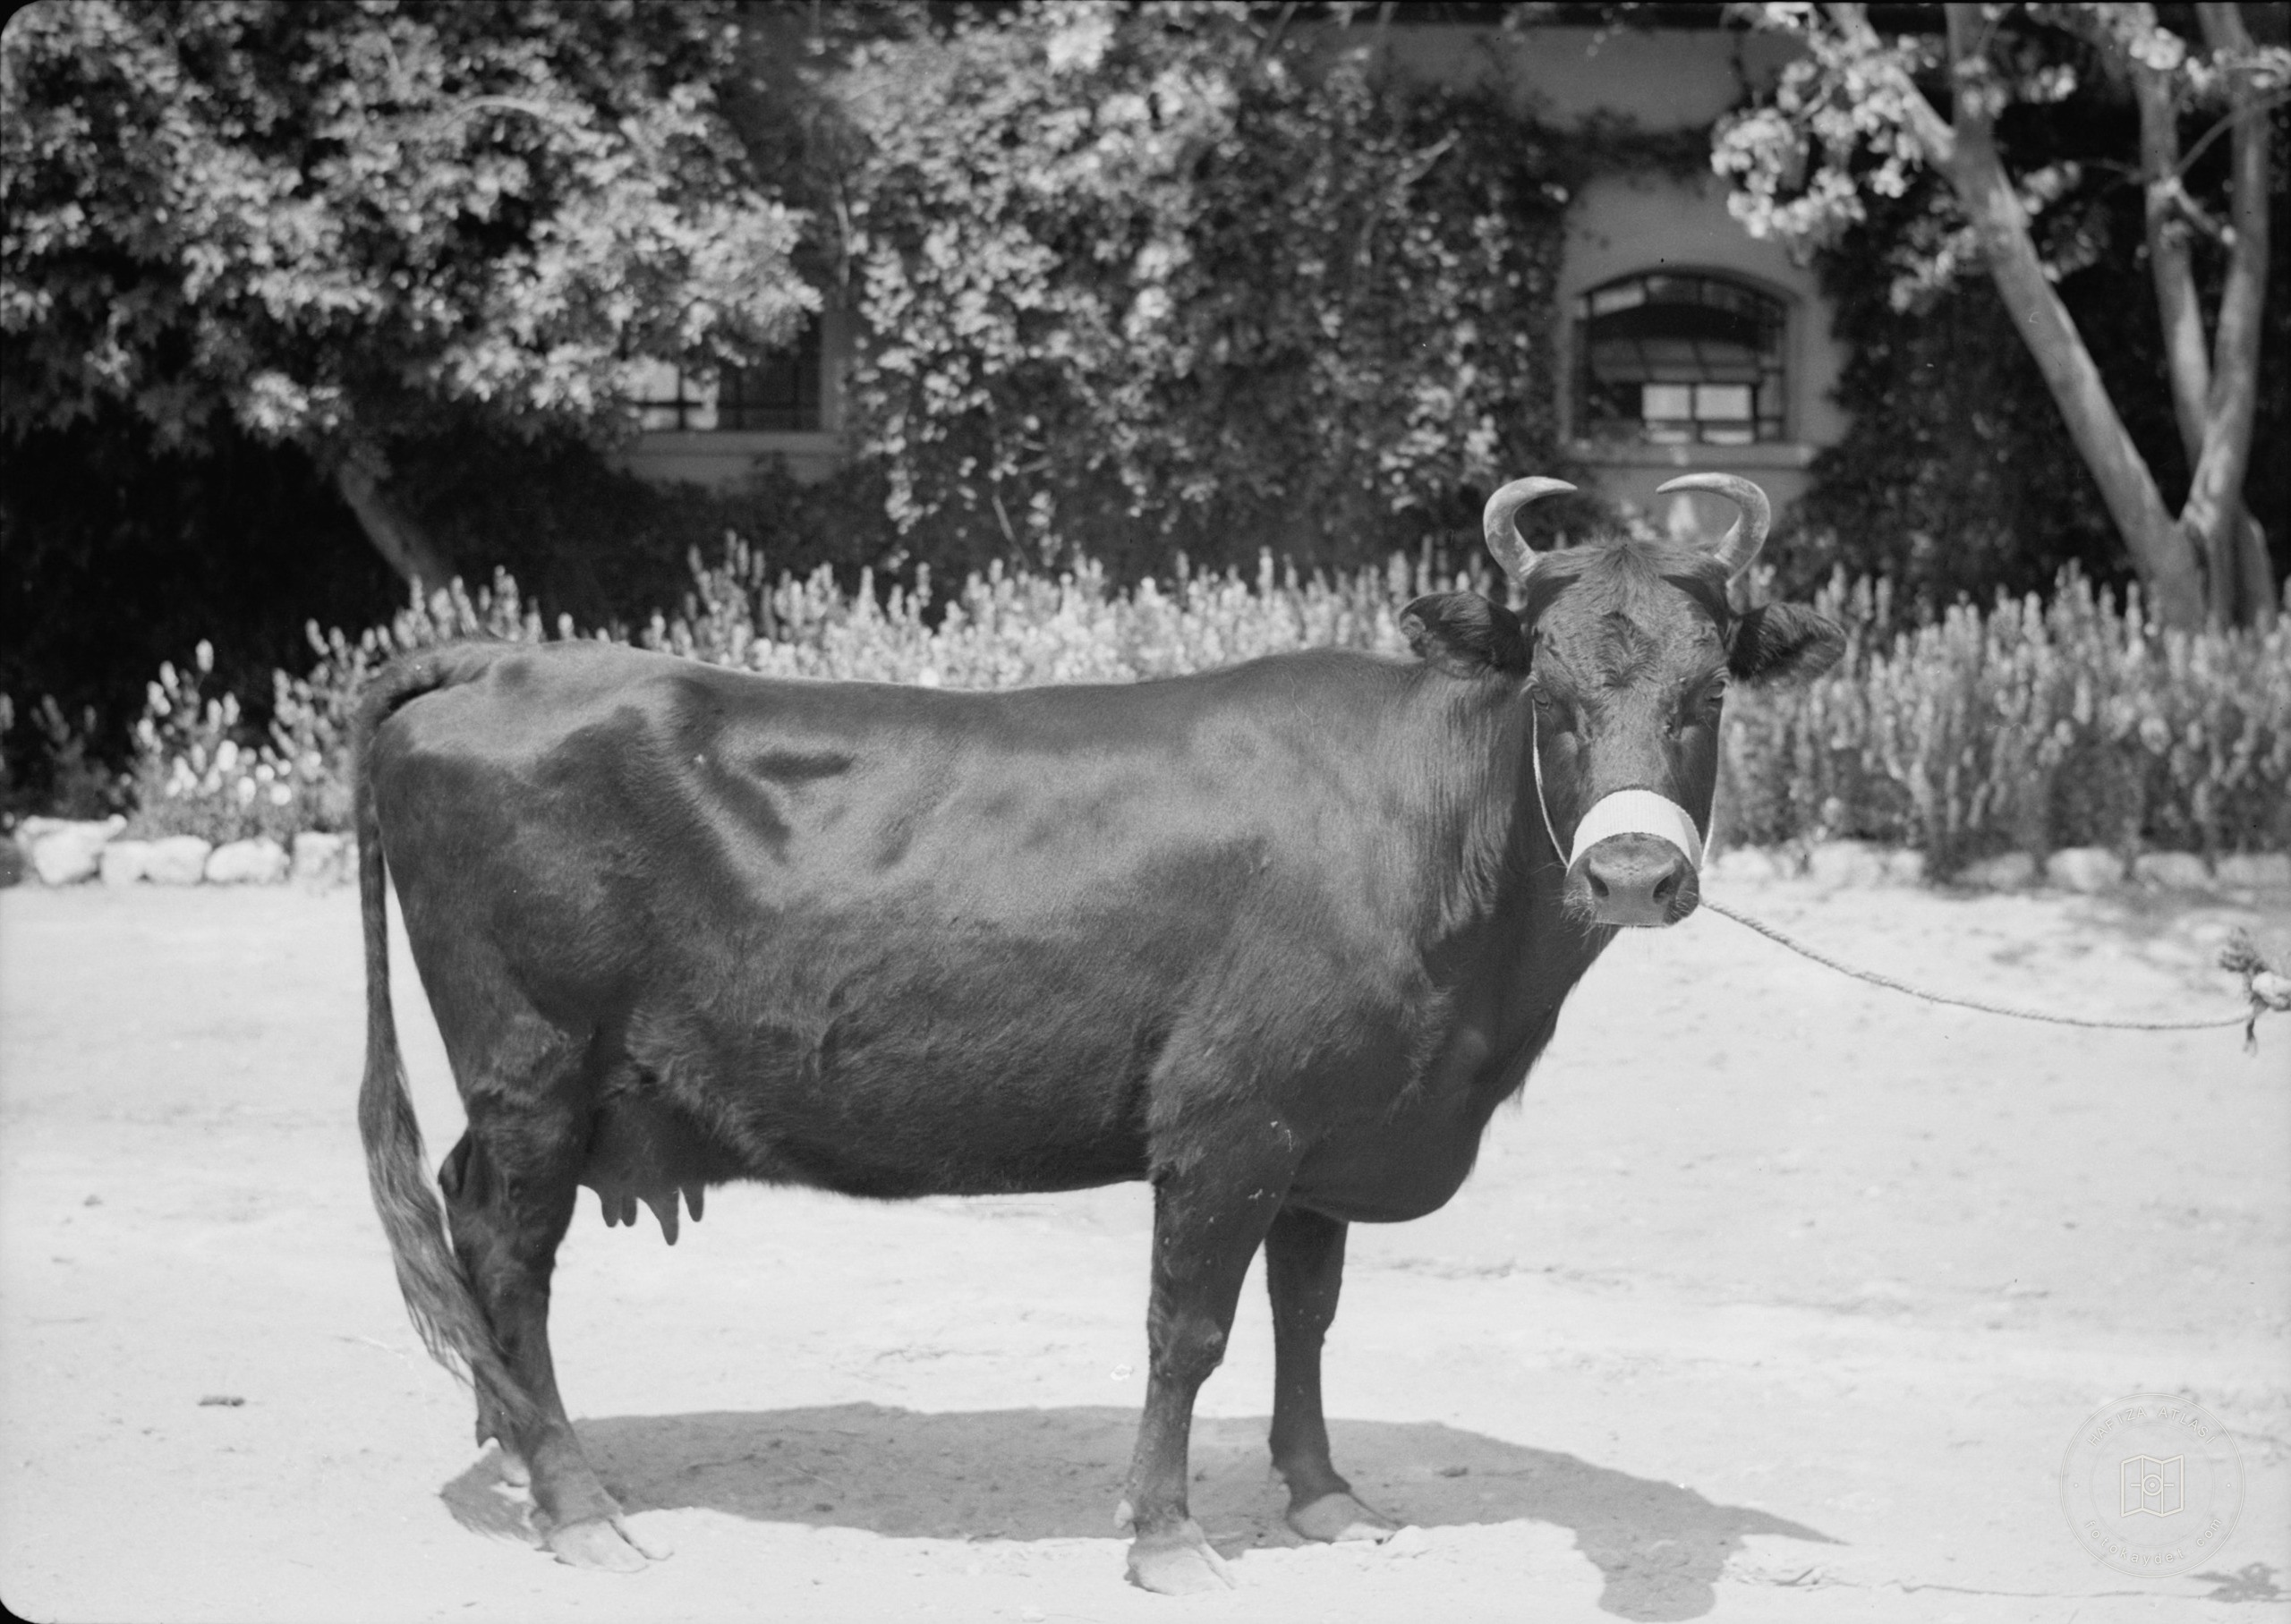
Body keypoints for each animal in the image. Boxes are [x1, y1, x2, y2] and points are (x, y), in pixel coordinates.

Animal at [355, 472, 1843, 1593]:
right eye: (1549, 689)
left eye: (1711, 692)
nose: (1635, 872)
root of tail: (502, 658)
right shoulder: (1228, 1119)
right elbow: (1189, 1329)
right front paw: (1170, 1534)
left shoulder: (1329, 1123)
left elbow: (1307, 1313)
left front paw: (1323, 1492)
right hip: (534, 1055)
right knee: (507, 1250)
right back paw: (574, 1499)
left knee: (468, 1222)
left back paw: (511, 1437)